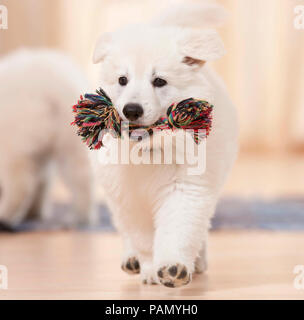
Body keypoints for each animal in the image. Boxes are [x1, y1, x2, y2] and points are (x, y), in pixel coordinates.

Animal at [0, 49, 94, 230]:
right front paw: (34, 212)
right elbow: (42, 183)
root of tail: (53, 89)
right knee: (83, 182)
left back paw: (5, 216)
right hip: (70, 146)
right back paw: (78, 218)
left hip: (13, 148)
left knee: (20, 186)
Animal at [91, 1, 239, 288]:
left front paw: (173, 267)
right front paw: (150, 269)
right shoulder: (129, 196)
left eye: (159, 81)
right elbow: (143, 237)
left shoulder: (186, 187)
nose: (132, 110)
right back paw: (132, 259)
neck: (147, 148)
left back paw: (198, 261)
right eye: (122, 80)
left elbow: (178, 229)